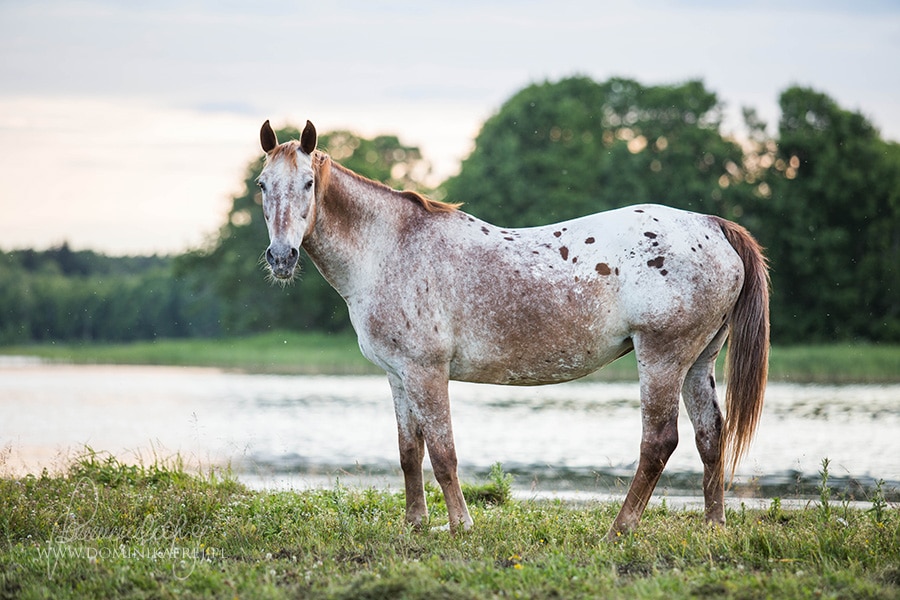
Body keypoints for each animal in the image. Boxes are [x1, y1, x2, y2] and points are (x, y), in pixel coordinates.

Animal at [256, 119, 768, 536]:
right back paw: (713, 526)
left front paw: (460, 525)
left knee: (659, 442)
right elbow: (409, 452)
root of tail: (712, 225)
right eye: (262, 185)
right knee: (710, 435)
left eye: (307, 183)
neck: (391, 248)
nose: (281, 257)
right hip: (698, 361)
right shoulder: (398, 376)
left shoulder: (426, 373)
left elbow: (443, 453)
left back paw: (619, 529)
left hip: (661, 356)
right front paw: (415, 524)